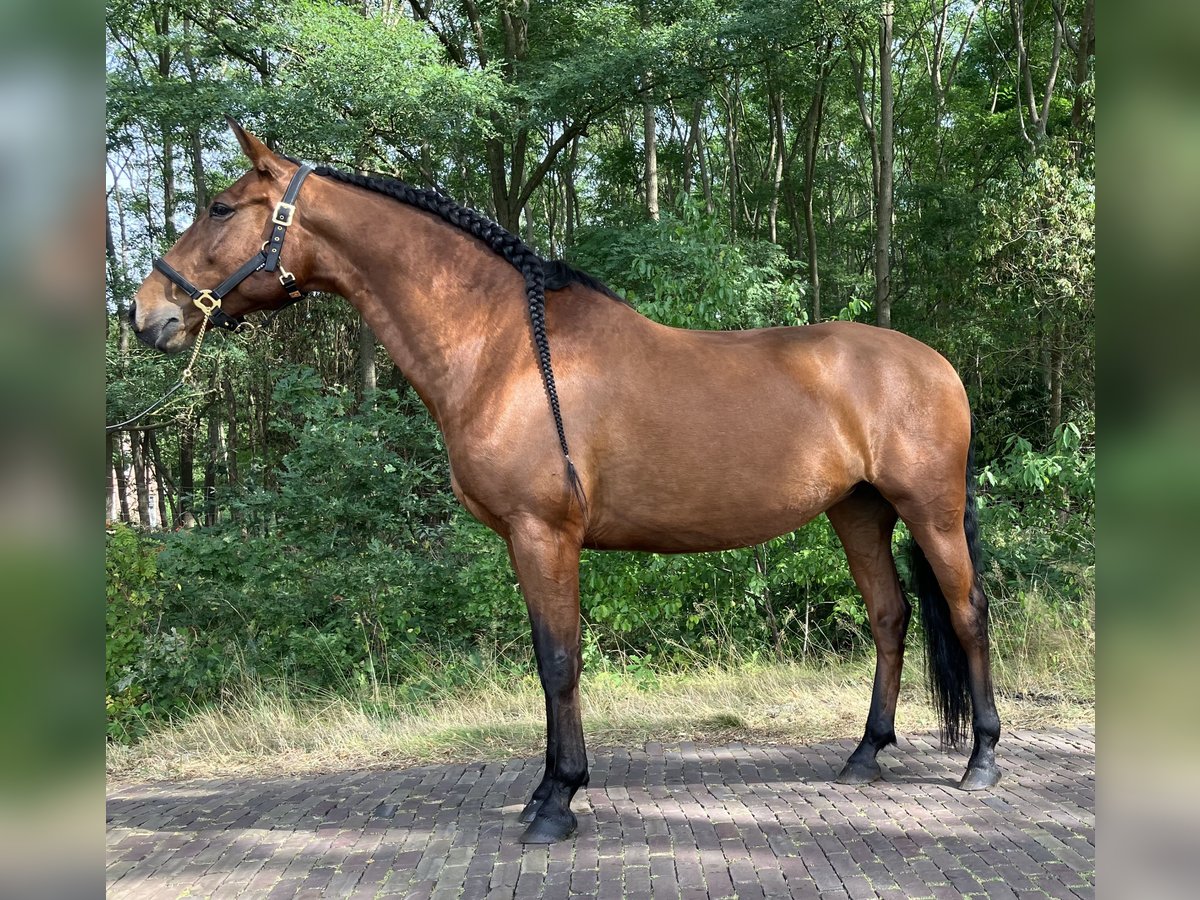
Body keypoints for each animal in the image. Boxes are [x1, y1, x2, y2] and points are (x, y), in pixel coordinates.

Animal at [129, 120, 1003, 844]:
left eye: (219, 207)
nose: (147, 314)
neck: (505, 348)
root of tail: (936, 364)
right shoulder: (532, 540)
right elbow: (549, 657)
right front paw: (547, 790)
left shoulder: (543, 532)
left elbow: (558, 659)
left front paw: (557, 801)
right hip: (858, 513)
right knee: (890, 617)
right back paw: (865, 755)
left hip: (929, 509)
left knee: (967, 613)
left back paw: (982, 761)